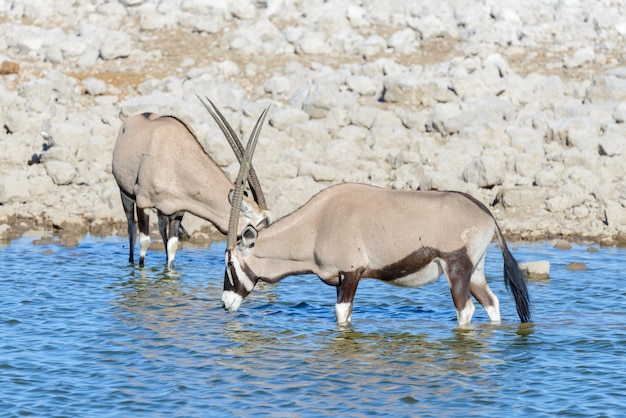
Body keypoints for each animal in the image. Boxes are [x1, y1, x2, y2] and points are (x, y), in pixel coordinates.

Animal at [109, 97, 268, 268]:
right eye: (253, 230)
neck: (178, 159)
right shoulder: (143, 203)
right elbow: (144, 242)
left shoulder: (178, 210)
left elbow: (172, 245)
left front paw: (169, 270)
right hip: (125, 194)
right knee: (131, 230)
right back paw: (131, 261)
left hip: (163, 210)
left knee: (161, 229)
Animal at [212, 104, 528, 326]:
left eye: (230, 264)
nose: (226, 303)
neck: (316, 225)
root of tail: (486, 214)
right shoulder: (341, 279)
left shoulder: (352, 273)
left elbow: (341, 315)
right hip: (475, 271)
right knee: (492, 303)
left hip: (457, 269)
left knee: (467, 310)